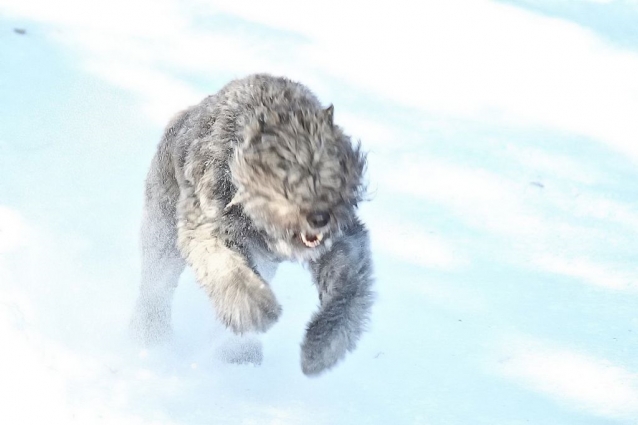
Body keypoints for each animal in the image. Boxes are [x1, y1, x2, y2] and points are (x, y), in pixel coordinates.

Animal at [132, 73, 378, 374]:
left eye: (333, 171)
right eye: (287, 179)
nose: (320, 217)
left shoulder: (344, 243)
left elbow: (348, 292)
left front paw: (322, 348)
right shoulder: (208, 229)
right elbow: (231, 272)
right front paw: (259, 310)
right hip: (163, 237)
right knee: (156, 287)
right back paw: (152, 335)